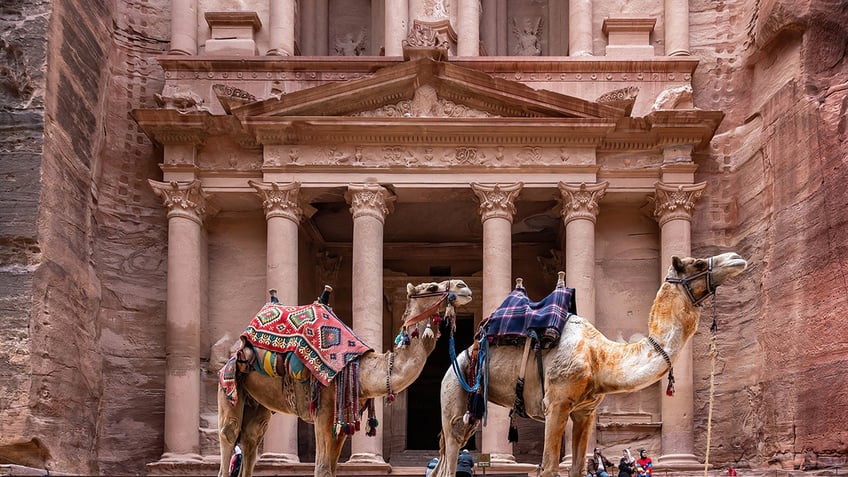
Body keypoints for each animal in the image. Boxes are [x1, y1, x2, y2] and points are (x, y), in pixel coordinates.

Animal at [217, 278, 470, 476]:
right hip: (230, 384)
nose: (463, 286)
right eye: (432, 286)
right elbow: (321, 468)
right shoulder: (324, 410)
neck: (361, 369)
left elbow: (332, 468)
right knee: (229, 435)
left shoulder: (343, 418)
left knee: (251, 439)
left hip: (259, 404)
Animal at [434, 251, 744, 476]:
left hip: (470, 410)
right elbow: (548, 468)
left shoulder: (585, 411)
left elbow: (578, 469)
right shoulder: (556, 403)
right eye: (698, 262)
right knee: (451, 453)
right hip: (454, 391)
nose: (736, 258)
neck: (599, 357)